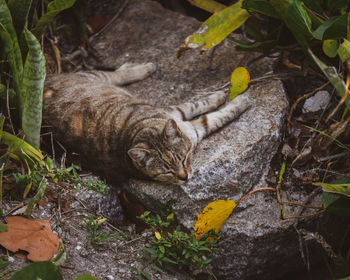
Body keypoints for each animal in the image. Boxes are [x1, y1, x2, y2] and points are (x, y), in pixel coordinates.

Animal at [43, 63, 250, 184]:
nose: (185, 178)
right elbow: (212, 116)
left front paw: (222, 97)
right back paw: (142, 68)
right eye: (167, 172)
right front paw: (239, 101)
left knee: (115, 74)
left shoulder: (175, 113)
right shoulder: (190, 125)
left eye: (183, 159)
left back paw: (142, 67)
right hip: (91, 77)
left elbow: (198, 104)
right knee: (115, 75)